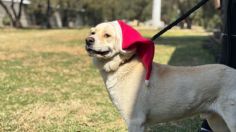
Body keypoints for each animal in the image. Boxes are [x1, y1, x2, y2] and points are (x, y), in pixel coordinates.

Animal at [85, 21, 236, 131]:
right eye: (92, 32)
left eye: (107, 35)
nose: (88, 40)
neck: (123, 64)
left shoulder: (135, 121)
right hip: (217, 121)